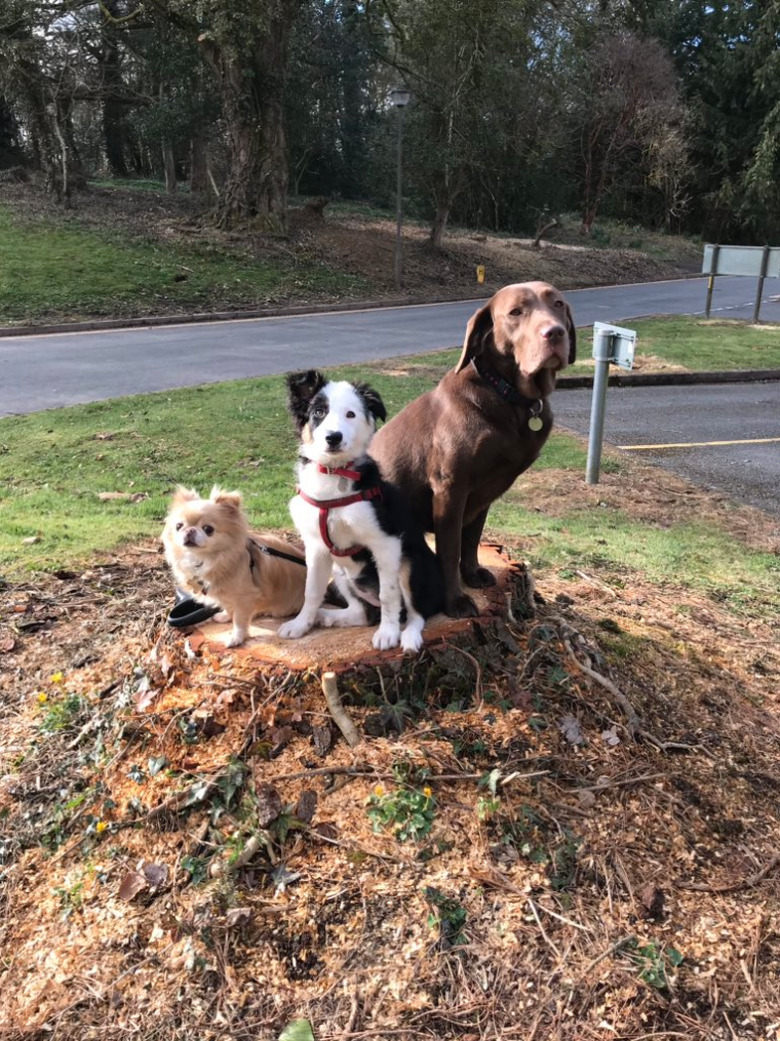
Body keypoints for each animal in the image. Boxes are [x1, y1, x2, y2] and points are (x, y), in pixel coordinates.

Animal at [277, 370, 441, 653]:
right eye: (319, 412)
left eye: (351, 414)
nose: (333, 437)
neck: (334, 475)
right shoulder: (317, 547)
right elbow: (312, 589)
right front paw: (300, 624)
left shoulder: (385, 542)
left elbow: (389, 594)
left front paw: (388, 633)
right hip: (341, 571)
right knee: (361, 613)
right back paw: (325, 616)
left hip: (411, 563)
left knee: (415, 612)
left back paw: (408, 636)